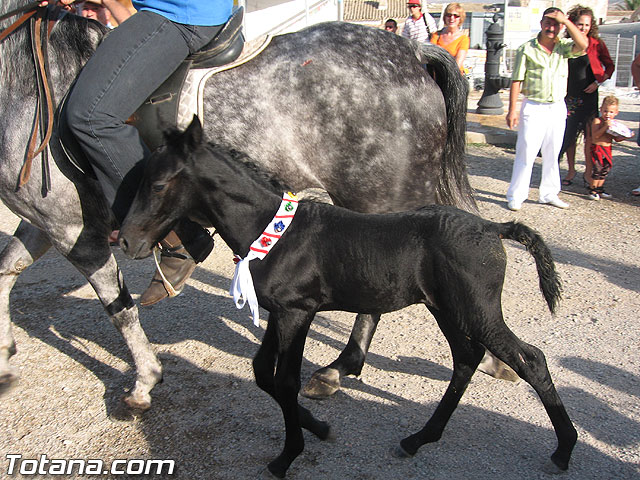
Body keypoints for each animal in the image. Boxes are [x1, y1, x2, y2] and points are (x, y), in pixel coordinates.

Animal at [0, 0, 474, 410]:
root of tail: (412, 51)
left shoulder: (71, 230)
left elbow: (118, 307)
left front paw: (144, 381)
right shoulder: (43, 223)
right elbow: (7, 269)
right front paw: (4, 356)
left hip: (381, 199)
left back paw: (343, 368)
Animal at [118, 117, 578, 479]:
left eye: (157, 184)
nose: (125, 240)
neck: (275, 231)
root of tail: (492, 228)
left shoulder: (297, 312)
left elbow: (284, 380)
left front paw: (288, 454)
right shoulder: (279, 314)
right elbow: (262, 373)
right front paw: (318, 428)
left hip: (477, 310)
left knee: (531, 359)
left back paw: (564, 449)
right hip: (446, 309)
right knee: (466, 359)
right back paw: (418, 439)